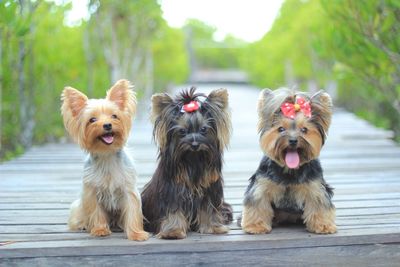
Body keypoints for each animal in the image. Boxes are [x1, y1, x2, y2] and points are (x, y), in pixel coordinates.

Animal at [61, 78, 149, 242]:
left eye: (114, 116)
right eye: (92, 120)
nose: (107, 125)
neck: (106, 154)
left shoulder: (129, 190)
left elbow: (132, 212)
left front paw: (136, 234)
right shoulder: (92, 191)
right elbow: (96, 211)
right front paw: (100, 230)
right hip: (78, 206)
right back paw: (84, 225)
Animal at [141, 87, 233, 240]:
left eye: (203, 129)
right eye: (182, 131)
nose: (195, 144)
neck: (193, 160)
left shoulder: (209, 191)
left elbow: (209, 209)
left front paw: (213, 227)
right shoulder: (171, 192)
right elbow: (173, 211)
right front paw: (172, 231)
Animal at [241, 89, 338, 236]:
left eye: (304, 130)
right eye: (281, 129)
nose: (293, 140)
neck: (290, 169)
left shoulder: (315, 187)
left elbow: (320, 204)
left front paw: (323, 226)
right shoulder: (262, 185)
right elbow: (257, 204)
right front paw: (256, 226)